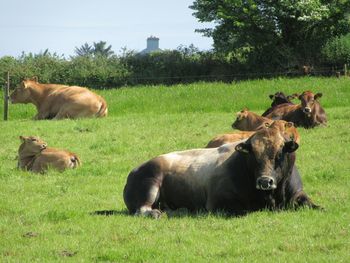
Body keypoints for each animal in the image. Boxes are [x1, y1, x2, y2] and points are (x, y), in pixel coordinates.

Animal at [122, 125, 318, 220]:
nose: (264, 181)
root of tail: (134, 171)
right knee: (142, 209)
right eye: (253, 155)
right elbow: (243, 211)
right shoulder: (219, 203)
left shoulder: (298, 194)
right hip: (151, 184)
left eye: (279, 153)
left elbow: (312, 205)